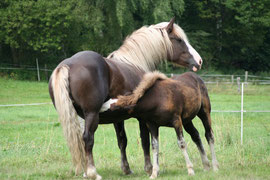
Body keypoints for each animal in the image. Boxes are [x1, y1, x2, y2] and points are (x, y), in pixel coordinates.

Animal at [48, 17, 201, 179]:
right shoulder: (142, 117)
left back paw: (85, 172)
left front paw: (126, 168)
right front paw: (149, 168)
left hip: (79, 116)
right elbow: (145, 140)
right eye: (179, 40)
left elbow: (122, 140)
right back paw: (93, 173)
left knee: (80, 141)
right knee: (88, 138)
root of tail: (67, 65)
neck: (135, 62)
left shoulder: (117, 117)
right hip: (91, 114)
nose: (199, 61)